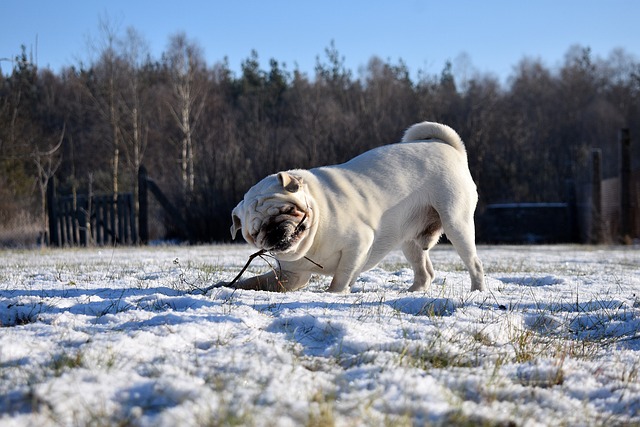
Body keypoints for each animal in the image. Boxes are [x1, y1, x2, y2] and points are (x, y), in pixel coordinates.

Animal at [230, 122, 484, 292]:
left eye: (288, 211)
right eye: (254, 233)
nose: (274, 231)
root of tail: (449, 147)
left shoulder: (357, 245)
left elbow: (341, 275)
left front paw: (335, 294)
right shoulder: (292, 275)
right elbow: (257, 281)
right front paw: (228, 285)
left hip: (456, 223)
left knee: (474, 264)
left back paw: (476, 291)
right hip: (410, 240)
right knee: (425, 272)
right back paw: (413, 291)